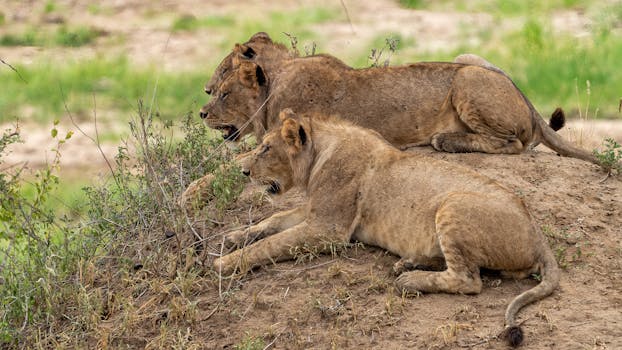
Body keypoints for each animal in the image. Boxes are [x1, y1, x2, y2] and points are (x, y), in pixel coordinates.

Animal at [201, 36, 600, 165]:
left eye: (224, 90)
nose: (203, 109)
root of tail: (529, 104)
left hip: (467, 79)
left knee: (514, 143)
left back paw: (446, 140)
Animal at [217, 108, 564, 348]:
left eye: (265, 148)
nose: (244, 171)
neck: (319, 153)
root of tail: (538, 235)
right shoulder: (316, 212)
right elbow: (273, 221)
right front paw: (234, 237)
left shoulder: (329, 229)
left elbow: (271, 244)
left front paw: (224, 263)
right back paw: (408, 263)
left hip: (452, 204)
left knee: (468, 280)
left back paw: (409, 279)